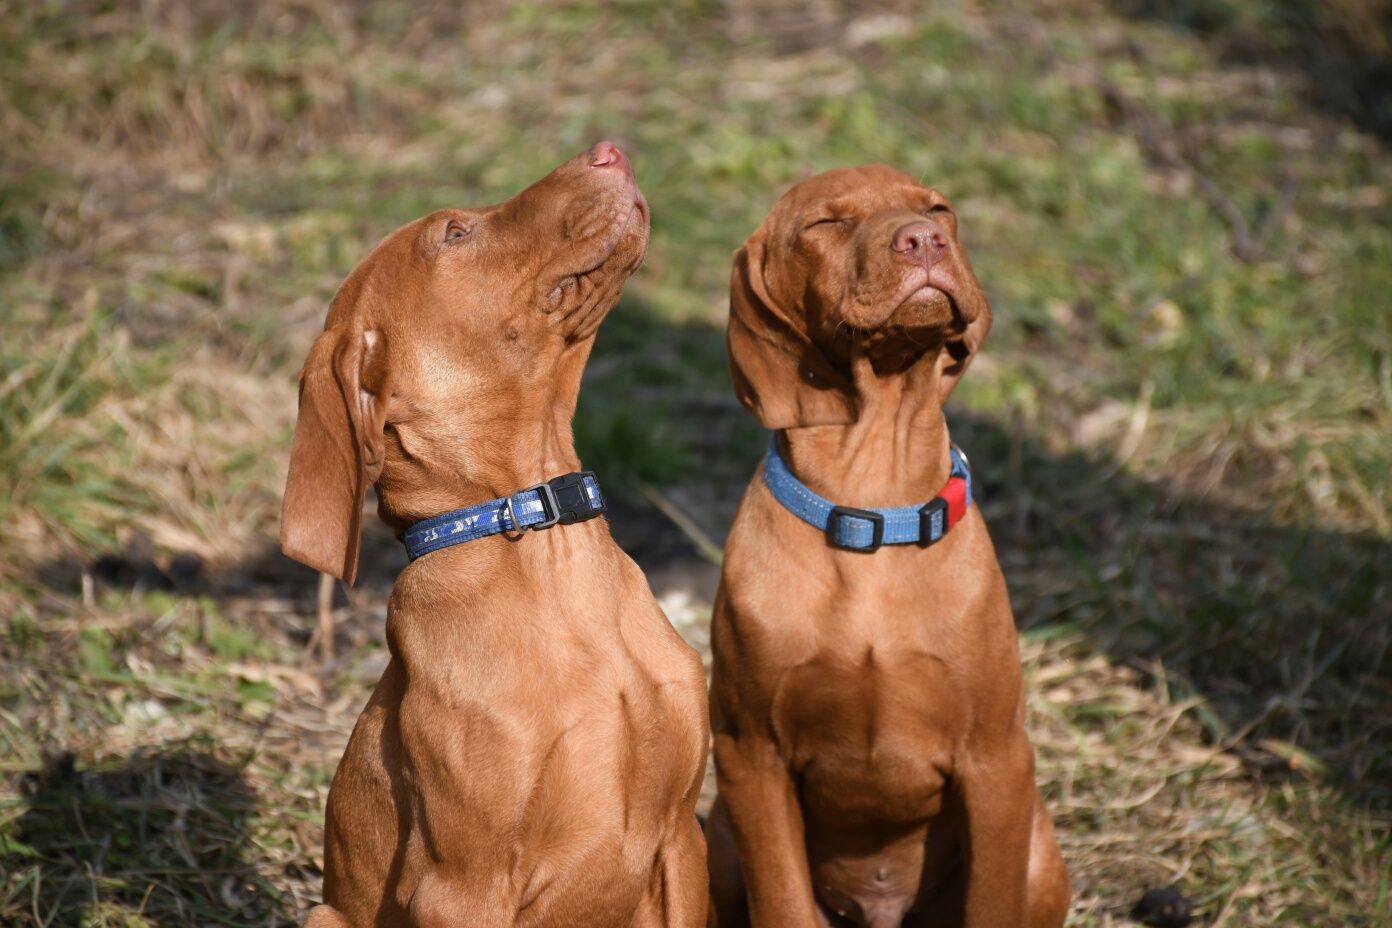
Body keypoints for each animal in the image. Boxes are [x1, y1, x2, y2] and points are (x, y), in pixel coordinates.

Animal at [283, 143, 718, 928]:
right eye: (455, 234)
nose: (608, 150)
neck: (548, 543)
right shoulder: (462, 888)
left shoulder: (681, 839)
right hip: (325, 915)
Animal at [707, 166, 1063, 928]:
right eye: (825, 224)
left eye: (939, 208)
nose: (922, 239)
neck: (871, 503)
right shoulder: (750, 758)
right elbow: (782, 902)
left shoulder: (997, 759)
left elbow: (992, 902)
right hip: (716, 837)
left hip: (1041, 850)